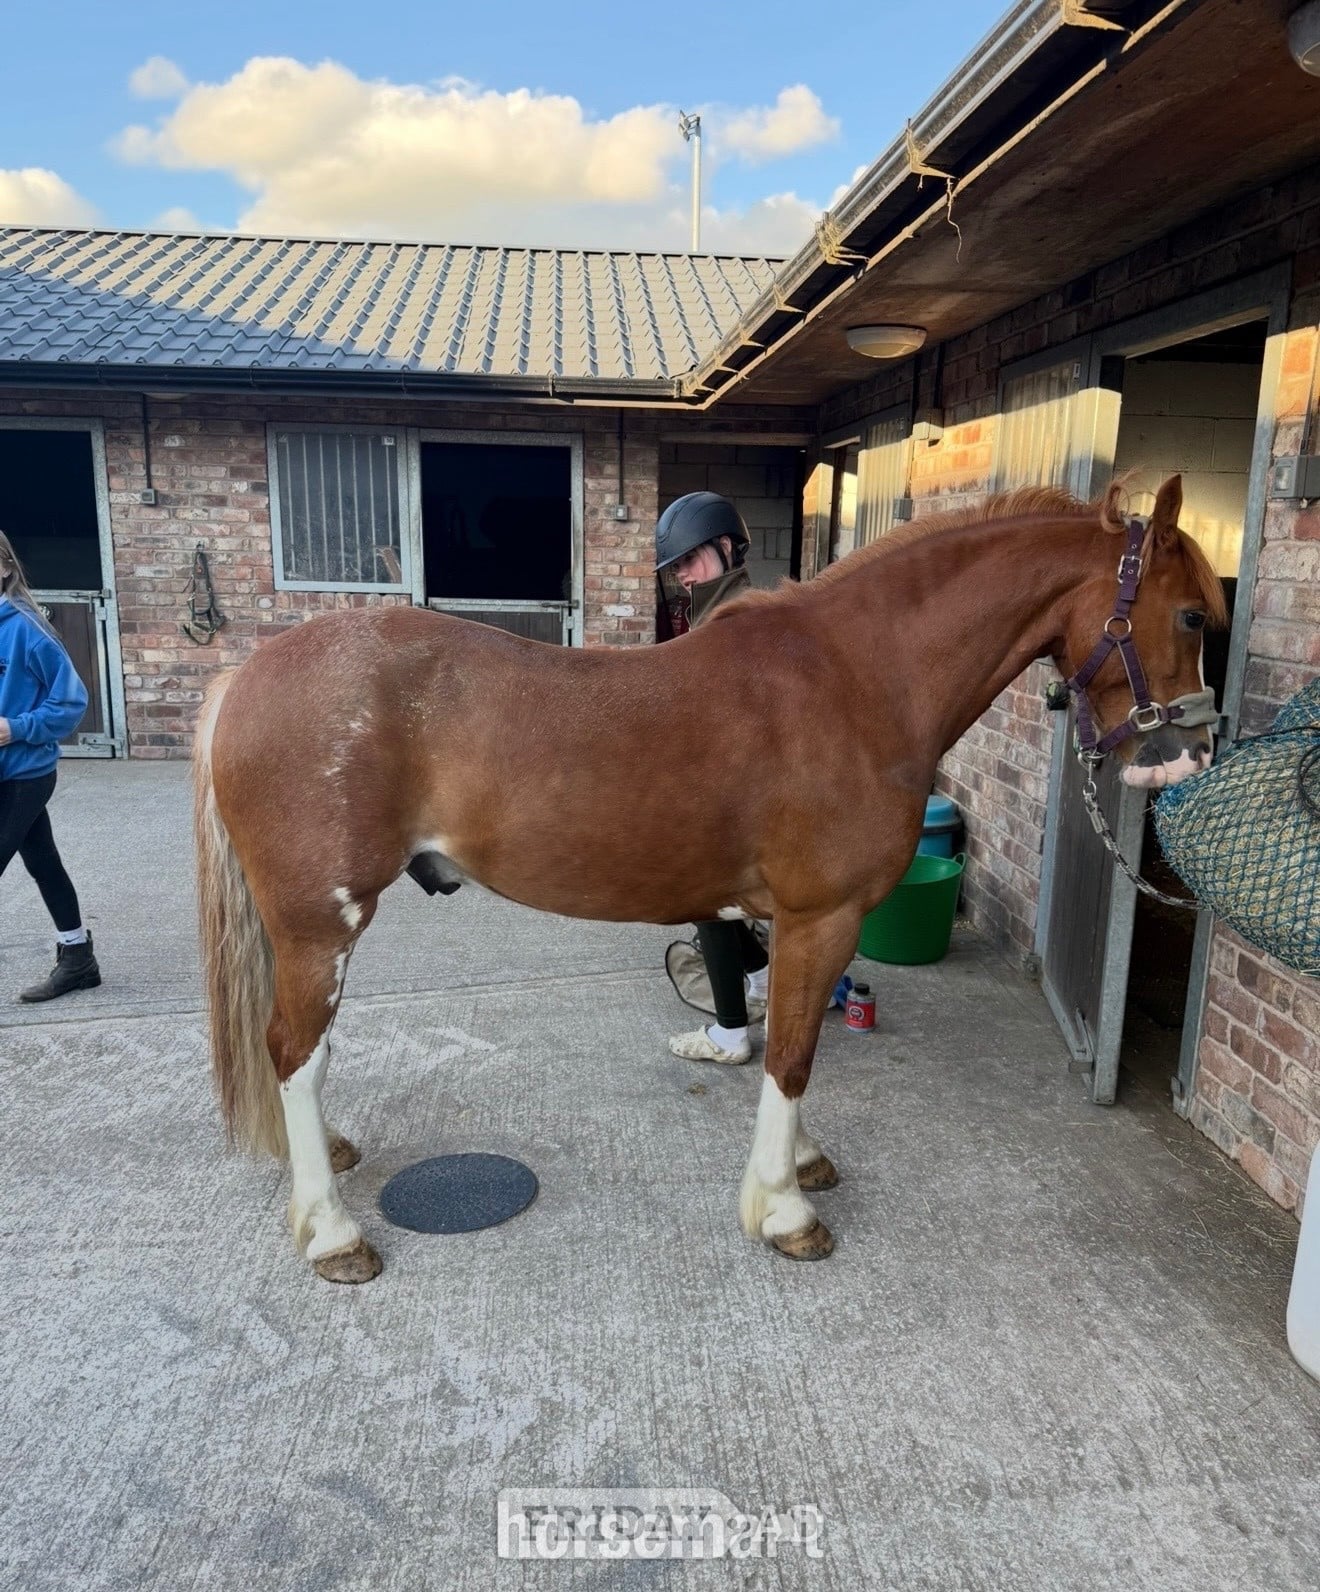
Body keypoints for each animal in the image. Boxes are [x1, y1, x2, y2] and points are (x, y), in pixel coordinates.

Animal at [193, 474, 1225, 1283]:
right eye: (1189, 615)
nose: (1188, 756)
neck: (860, 679)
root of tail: (248, 676)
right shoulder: (821, 916)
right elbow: (793, 1054)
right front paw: (783, 1210)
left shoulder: (800, 923)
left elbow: (791, 1038)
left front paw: (802, 1164)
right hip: (320, 925)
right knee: (293, 1049)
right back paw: (332, 1231)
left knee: (306, 1053)